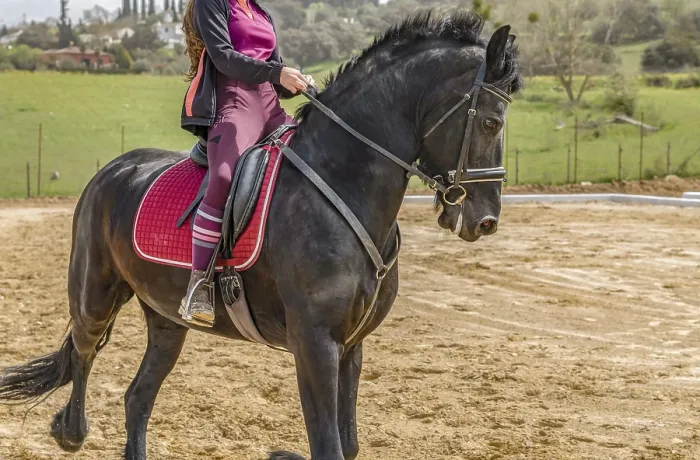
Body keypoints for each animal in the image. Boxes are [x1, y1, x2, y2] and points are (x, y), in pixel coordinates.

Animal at [0, 11, 521, 460]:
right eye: (490, 121)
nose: (485, 221)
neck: (343, 180)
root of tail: (114, 168)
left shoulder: (351, 345)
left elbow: (348, 445)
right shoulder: (315, 343)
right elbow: (329, 446)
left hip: (167, 320)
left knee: (137, 397)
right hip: (95, 294)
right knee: (84, 353)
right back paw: (70, 432)